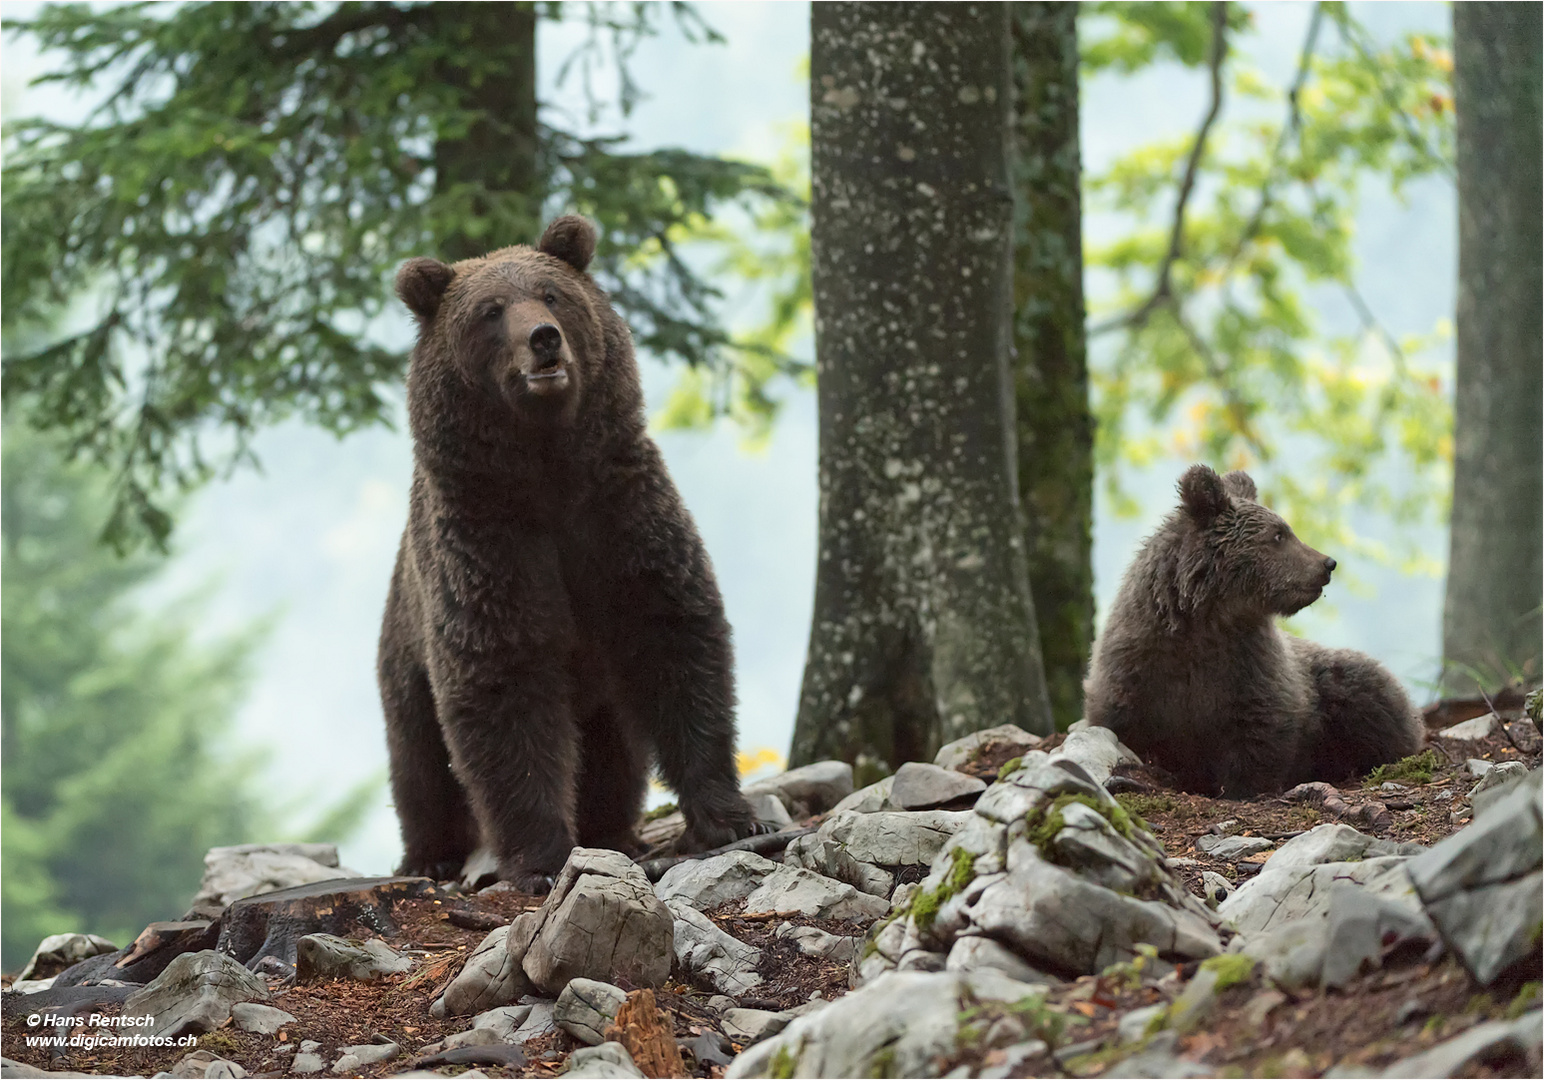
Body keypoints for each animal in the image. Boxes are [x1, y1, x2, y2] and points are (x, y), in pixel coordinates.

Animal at [376, 214, 756, 889]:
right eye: (491, 311)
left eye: (551, 294)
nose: (544, 339)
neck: (548, 470)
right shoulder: (488, 545)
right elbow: (504, 681)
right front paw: (543, 860)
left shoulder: (619, 516)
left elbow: (675, 639)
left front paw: (728, 817)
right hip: (405, 649)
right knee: (418, 759)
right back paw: (430, 853)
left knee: (613, 747)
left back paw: (613, 828)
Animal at [1086, 466, 1420, 803]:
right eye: (1278, 534)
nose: (1327, 563)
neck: (1207, 621)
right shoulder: (1138, 671)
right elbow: (1128, 728)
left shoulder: (1250, 667)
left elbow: (1259, 732)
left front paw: (1241, 788)